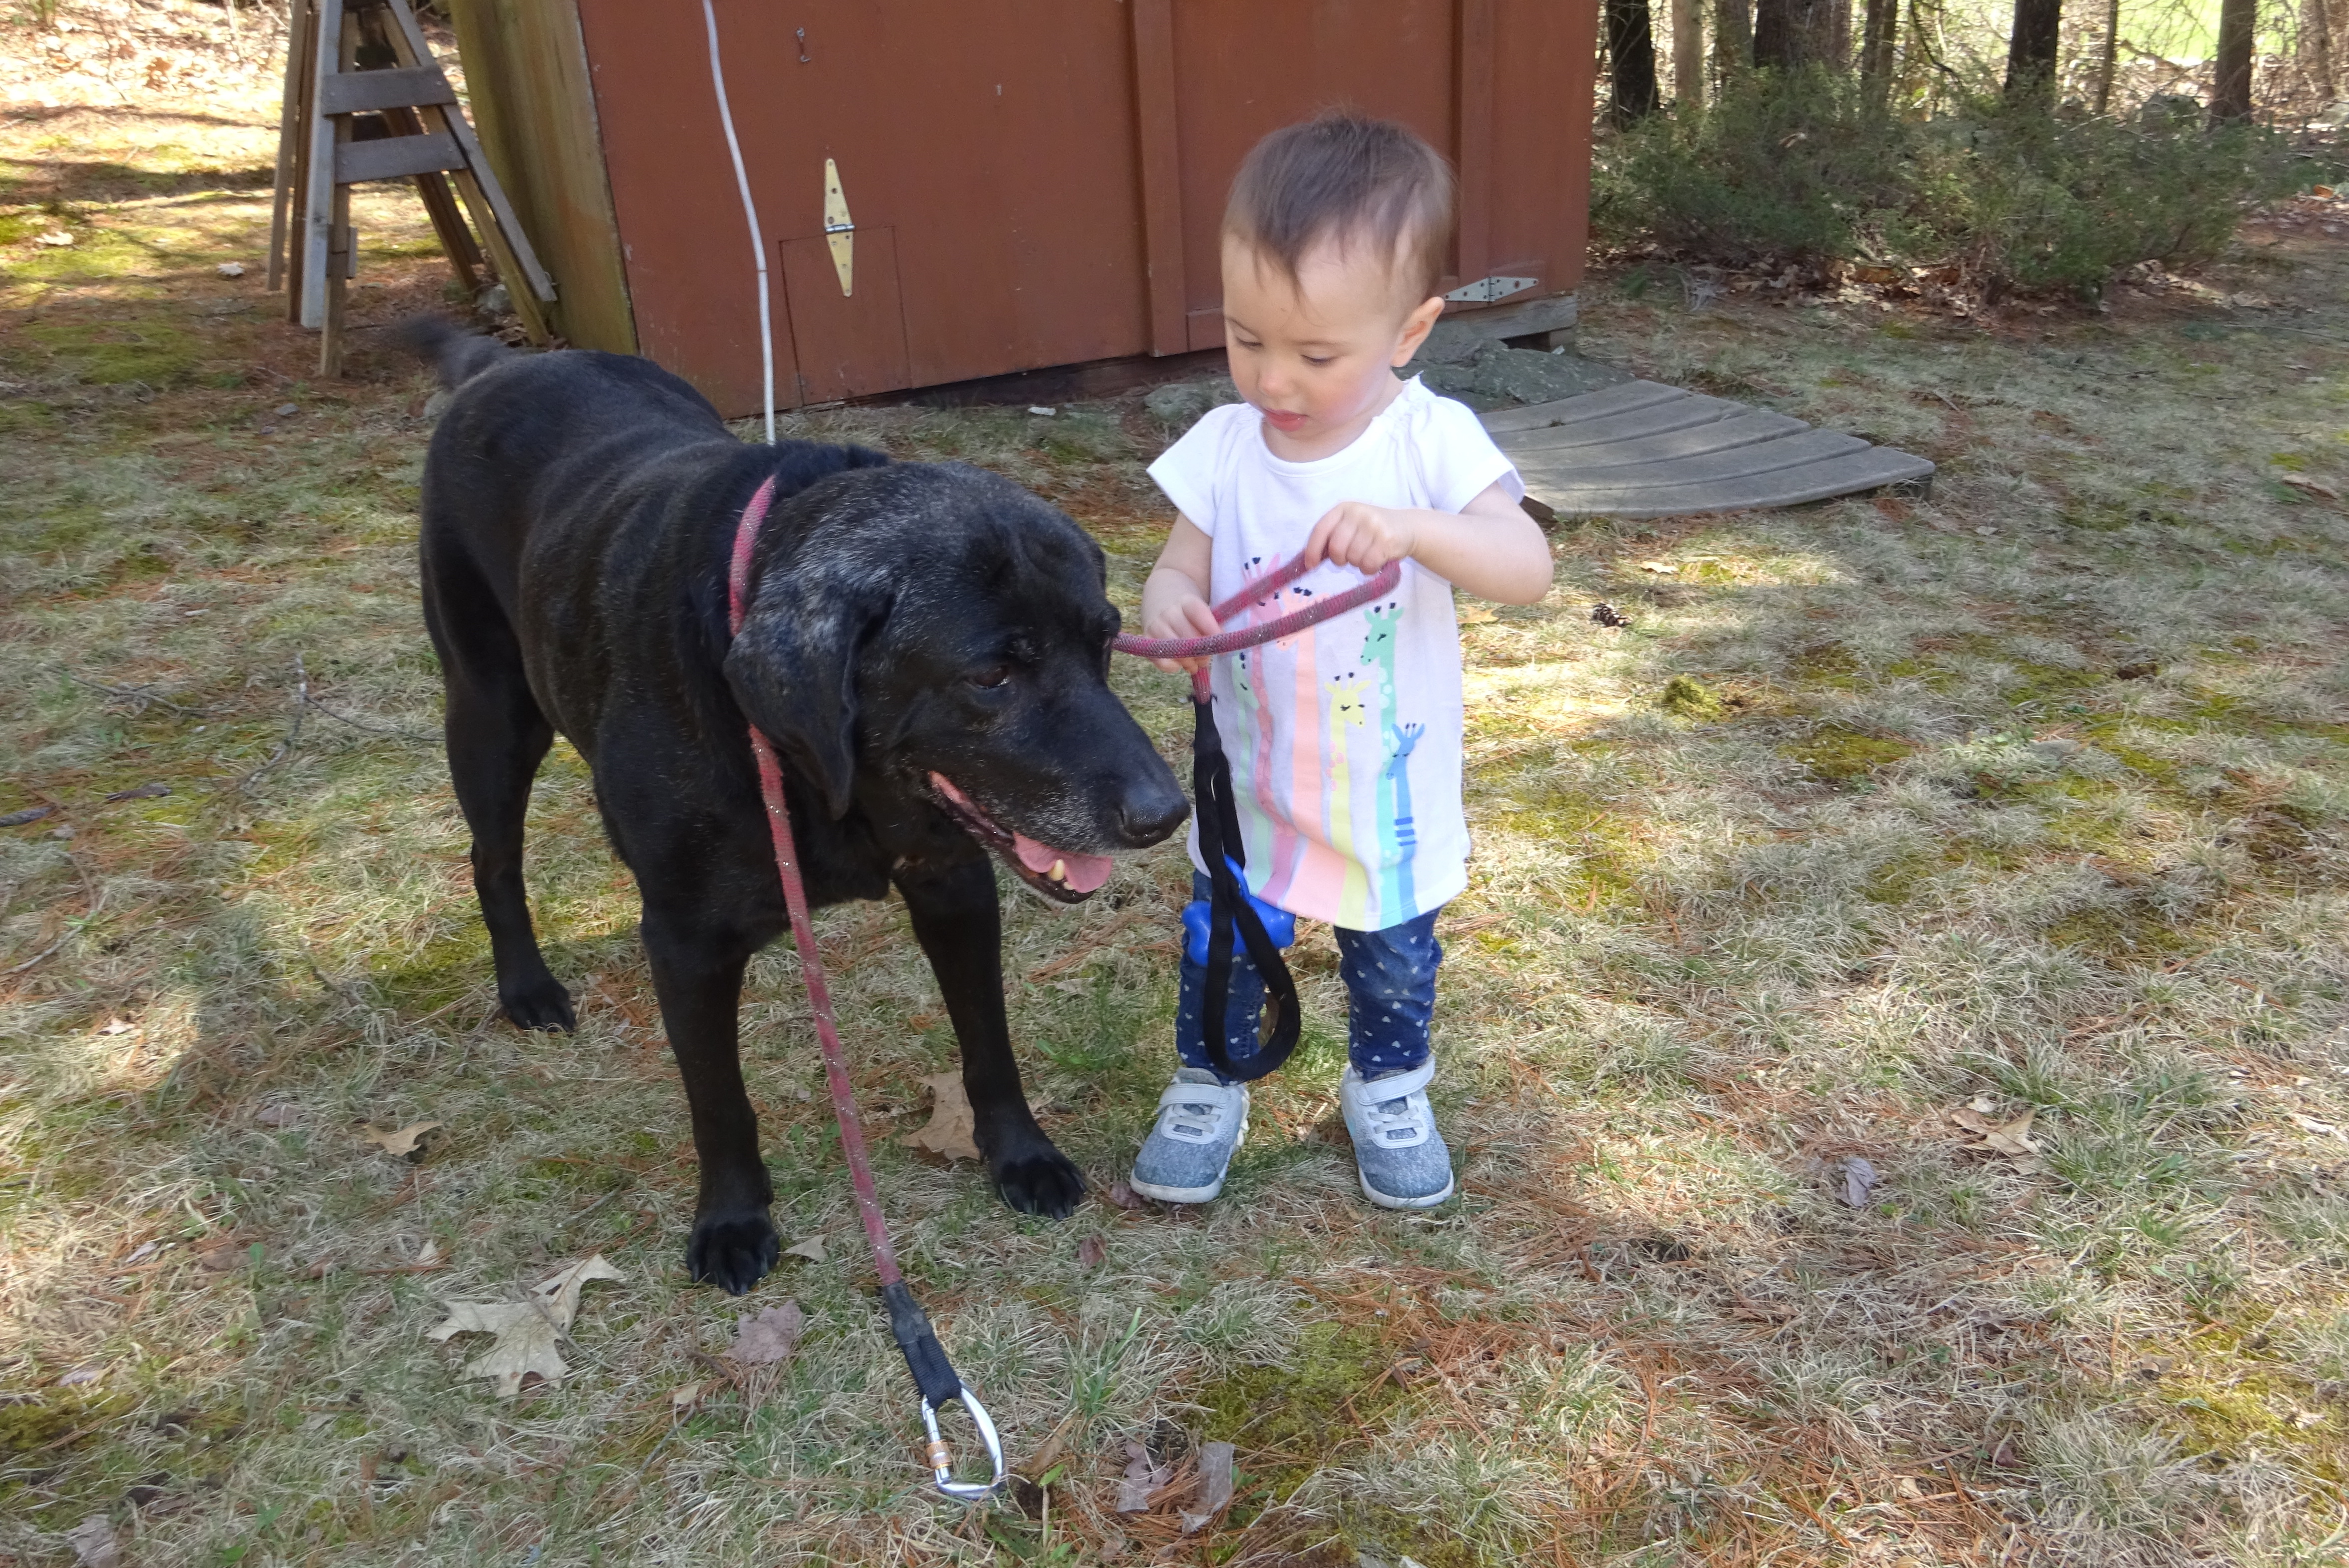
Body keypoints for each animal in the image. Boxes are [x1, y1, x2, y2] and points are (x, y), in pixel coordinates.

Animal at [405, 320, 1188, 1293]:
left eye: (1106, 640)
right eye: (991, 675)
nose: (1167, 812)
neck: (809, 768)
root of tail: (501, 362)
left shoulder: (956, 882)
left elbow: (989, 1040)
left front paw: (1020, 1153)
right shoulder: (684, 940)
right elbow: (717, 1097)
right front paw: (732, 1216)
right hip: (491, 714)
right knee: (492, 856)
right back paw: (527, 987)